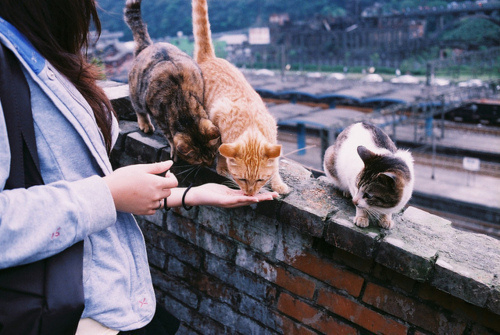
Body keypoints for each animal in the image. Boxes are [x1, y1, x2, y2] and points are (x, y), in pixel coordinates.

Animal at [124, 0, 219, 167]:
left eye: (213, 153)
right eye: (199, 160)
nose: (208, 164)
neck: (183, 105)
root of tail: (147, 46)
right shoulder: (158, 115)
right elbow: (169, 135)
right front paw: (174, 149)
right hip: (136, 92)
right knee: (138, 109)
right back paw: (145, 124)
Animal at [191, 0, 290, 197]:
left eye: (260, 180)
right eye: (242, 179)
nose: (250, 194)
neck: (250, 126)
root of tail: (209, 57)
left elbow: (275, 163)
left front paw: (278, 183)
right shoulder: (217, 122)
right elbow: (221, 149)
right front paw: (222, 167)